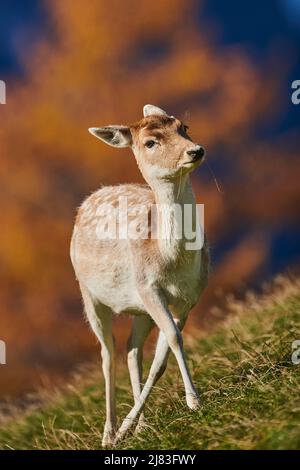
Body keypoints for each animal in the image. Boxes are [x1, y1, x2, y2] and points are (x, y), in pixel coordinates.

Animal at [70, 104, 210, 446]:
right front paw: (194, 401)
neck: (172, 261)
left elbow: (164, 352)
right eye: (150, 142)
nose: (195, 150)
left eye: (183, 126)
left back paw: (141, 426)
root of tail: (91, 197)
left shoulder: (188, 298)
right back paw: (108, 433)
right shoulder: (149, 288)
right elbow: (173, 338)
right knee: (107, 355)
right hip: (89, 295)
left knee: (132, 351)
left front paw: (135, 425)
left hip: (139, 310)